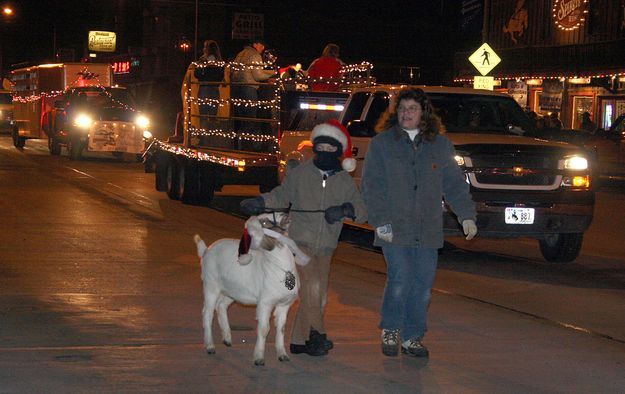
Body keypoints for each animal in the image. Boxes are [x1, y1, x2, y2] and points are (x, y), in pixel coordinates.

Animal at [190, 212, 308, 366]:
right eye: (264, 222)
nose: (285, 214)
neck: (279, 267)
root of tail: (206, 250)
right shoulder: (265, 303)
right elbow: (264, 329)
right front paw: (258, 358)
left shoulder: (284, 304)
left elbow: (281, 328)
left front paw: (283, 355)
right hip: (211, 284)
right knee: (207, 313)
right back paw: (210, 346)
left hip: (232, 290)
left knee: (221, 306)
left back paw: (227, 338)